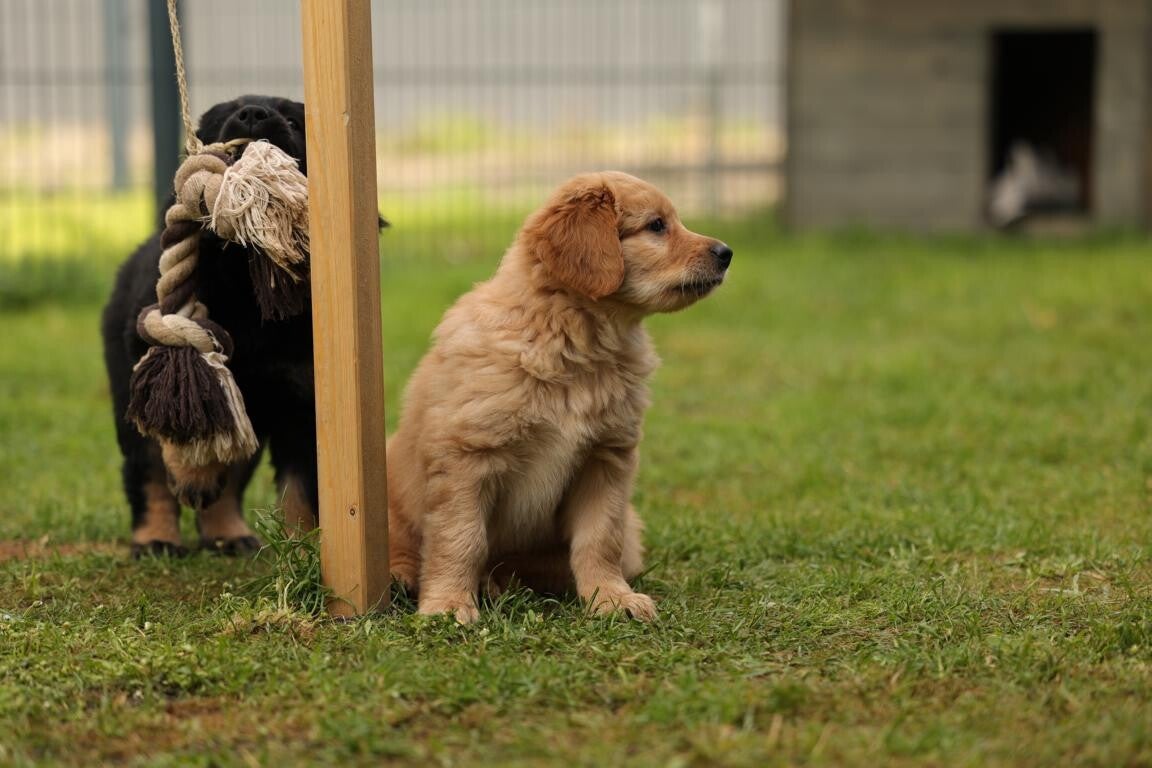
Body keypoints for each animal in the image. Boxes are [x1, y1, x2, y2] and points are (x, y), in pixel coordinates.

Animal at [102, 95, 320, 557]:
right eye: (224, 116)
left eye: (294, 122)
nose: (253, 114)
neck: (243, 275)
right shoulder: (160, 346)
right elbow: (183, 413)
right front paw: (192, 475)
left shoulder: (301, 398)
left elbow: (302, 488)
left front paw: (305, 551)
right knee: (146, 471)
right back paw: (156, 539)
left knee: (232, 476)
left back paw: (227, 535)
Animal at [387, 171, 733, 623]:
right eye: (657, 226)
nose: (726, 253)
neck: (572, 344)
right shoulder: (466, 457)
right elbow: (460, 537)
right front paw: (447, 605)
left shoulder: (606, 458)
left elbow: (600, 537)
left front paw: (610, 597)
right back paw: (405, 577)